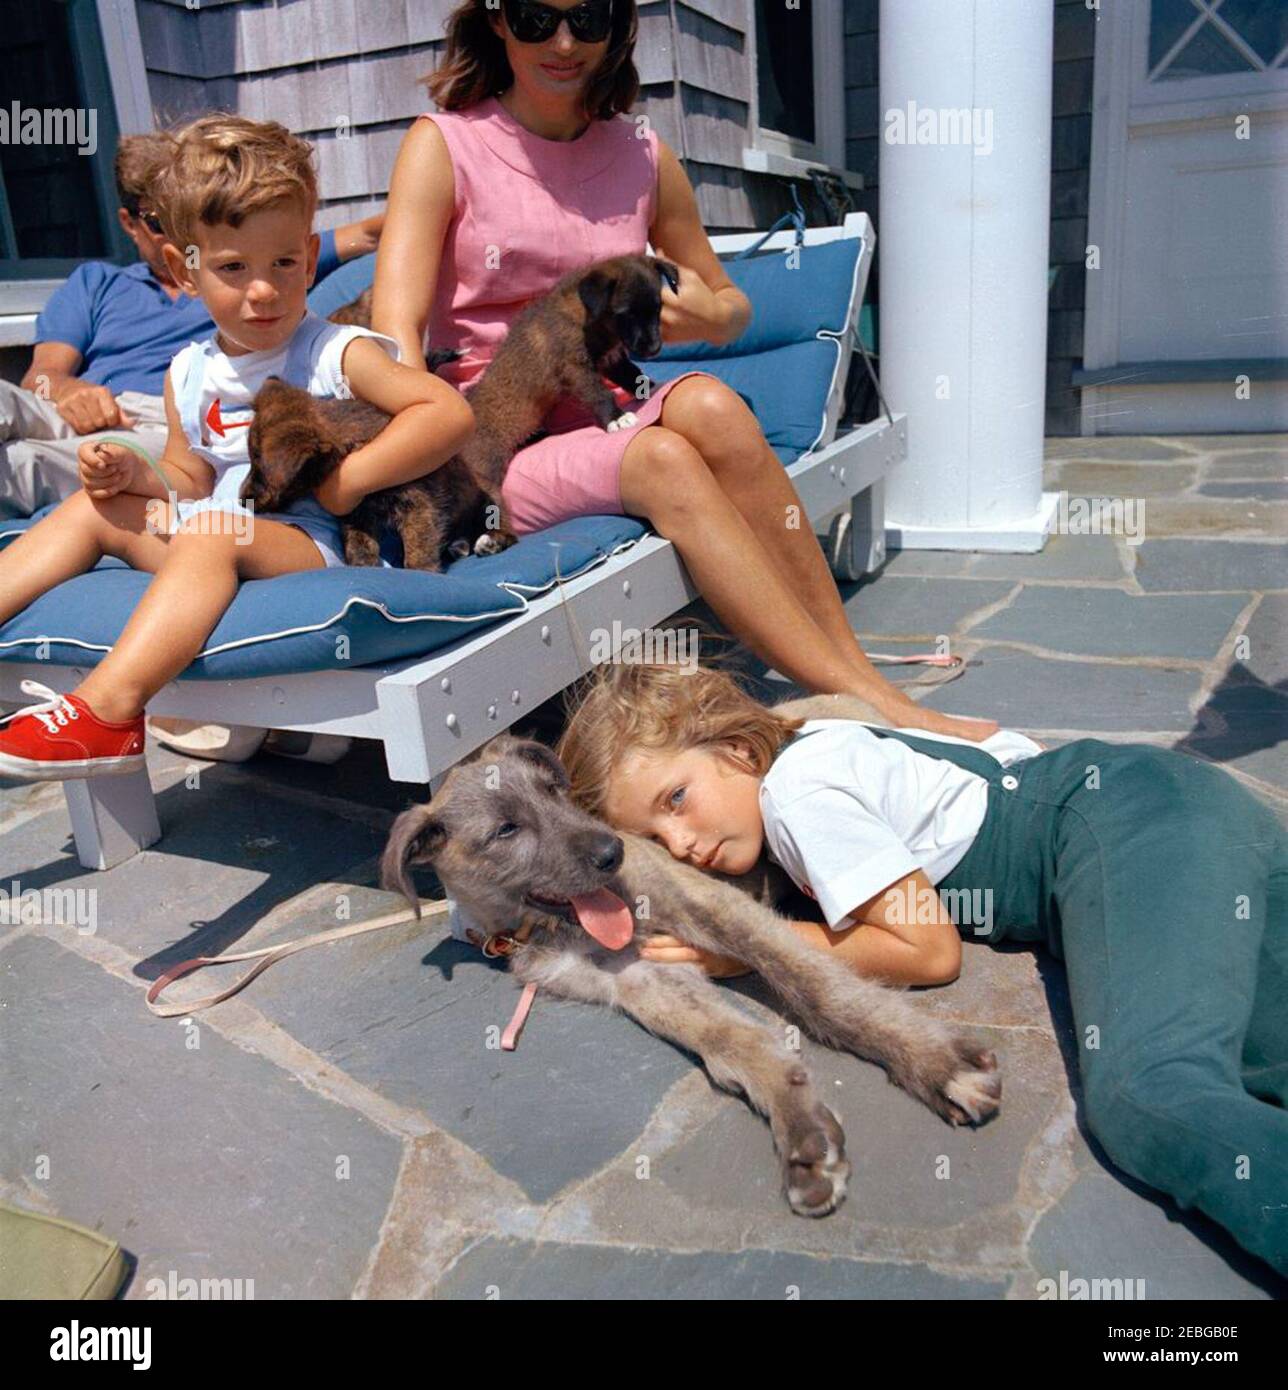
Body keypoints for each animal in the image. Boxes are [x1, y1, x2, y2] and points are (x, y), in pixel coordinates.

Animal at [383, 695, 1005, 1217]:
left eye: (554, 793)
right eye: (506, 830)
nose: (612, 852)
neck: (545, 926)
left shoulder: (710, 904)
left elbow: (819, 988)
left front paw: (932, 1062)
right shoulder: (638, 978)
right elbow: (734, 1039)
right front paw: (801, 1128)